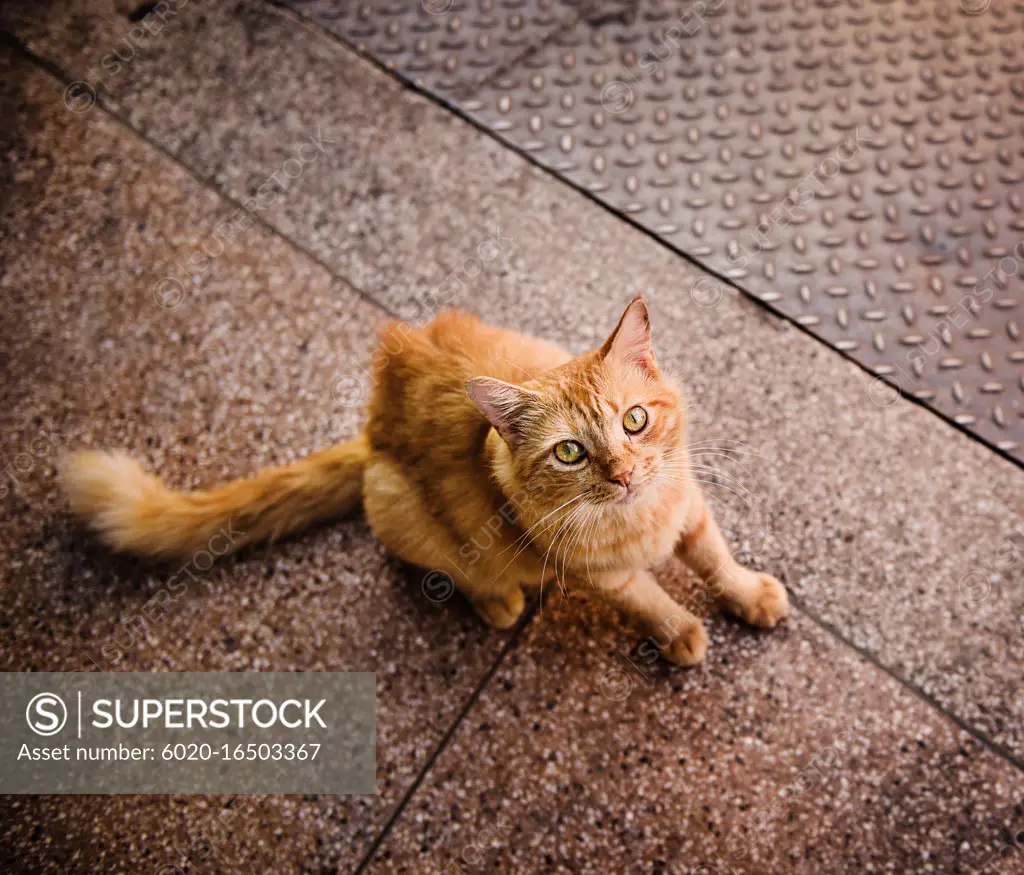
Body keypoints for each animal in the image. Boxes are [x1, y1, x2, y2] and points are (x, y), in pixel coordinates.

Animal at [64, 297, 786, 663]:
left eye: (635, 420)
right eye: (571, 453)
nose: (627, 473)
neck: (642, 519)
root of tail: (372, 430)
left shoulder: (691, 509)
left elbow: (717, 560)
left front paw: (748, 594)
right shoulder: (599, 576)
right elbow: (650, 599)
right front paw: (679, 632)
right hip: (398, 508)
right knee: (454, 569)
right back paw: (495, 599)